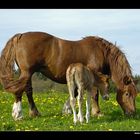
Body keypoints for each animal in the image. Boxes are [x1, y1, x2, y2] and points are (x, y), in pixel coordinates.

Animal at [0, 31, 138, 120]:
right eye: (127, 94)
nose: (132, 113)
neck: (102, 52)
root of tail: (20, 36)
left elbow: (75, 93)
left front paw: (67, 110)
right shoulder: (94, 77)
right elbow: (94, 95)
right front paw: (97, 113)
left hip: (27, 73)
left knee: (28, 90)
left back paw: (34, 113)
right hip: (27, 72)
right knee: (19, 90)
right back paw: (18, 114)